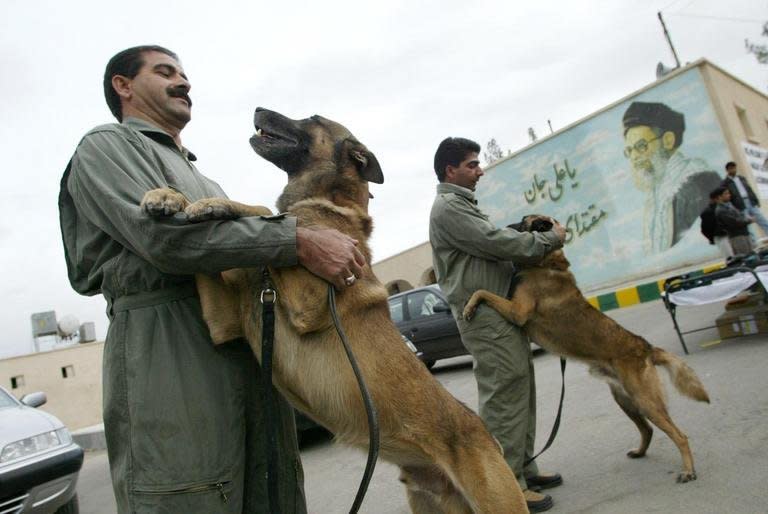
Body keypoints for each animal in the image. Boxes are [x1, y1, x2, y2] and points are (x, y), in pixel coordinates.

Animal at [140, 106, 528, 510]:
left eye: (312, 117)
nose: (258, 109)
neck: (329, 204)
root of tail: (489, 438)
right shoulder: (221, 321)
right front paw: (168, 196)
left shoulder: (309, 302)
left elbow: (267, 212)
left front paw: (214, 204)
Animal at [460, 214, 712, 482]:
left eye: (524, 222)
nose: (505, 227)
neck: (547, 263)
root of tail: (645, 347)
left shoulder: (517, 312)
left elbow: (482, 291)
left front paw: (469, 307)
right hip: (625, 400)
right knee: (647, 429)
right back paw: (640, 451)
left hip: (646, 401)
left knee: (679, 435)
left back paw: (688, 470)